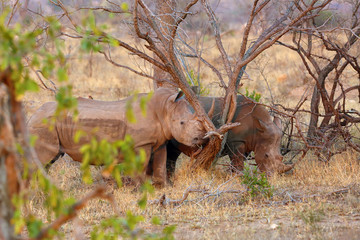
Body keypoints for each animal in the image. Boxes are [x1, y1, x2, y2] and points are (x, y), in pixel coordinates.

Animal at [28, 87, 205, 186]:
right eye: (182, 123)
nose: (200, 139)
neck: (164, 108)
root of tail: (33, 115)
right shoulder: (141, 144)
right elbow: (141, 166)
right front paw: (142, 189)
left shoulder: (159, 141)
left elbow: (160, 164)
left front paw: (165, 187)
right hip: (44, 124)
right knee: (42, 159)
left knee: (48, 161)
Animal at [153, 94, 294, 178]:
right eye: (266, 155)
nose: (273, 177)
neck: (258, 127)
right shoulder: (236, 141)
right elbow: (237, 161)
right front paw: (237, 178)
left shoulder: (248, 142)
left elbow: (239, 161)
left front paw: (233, 177)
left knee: (173, 153)